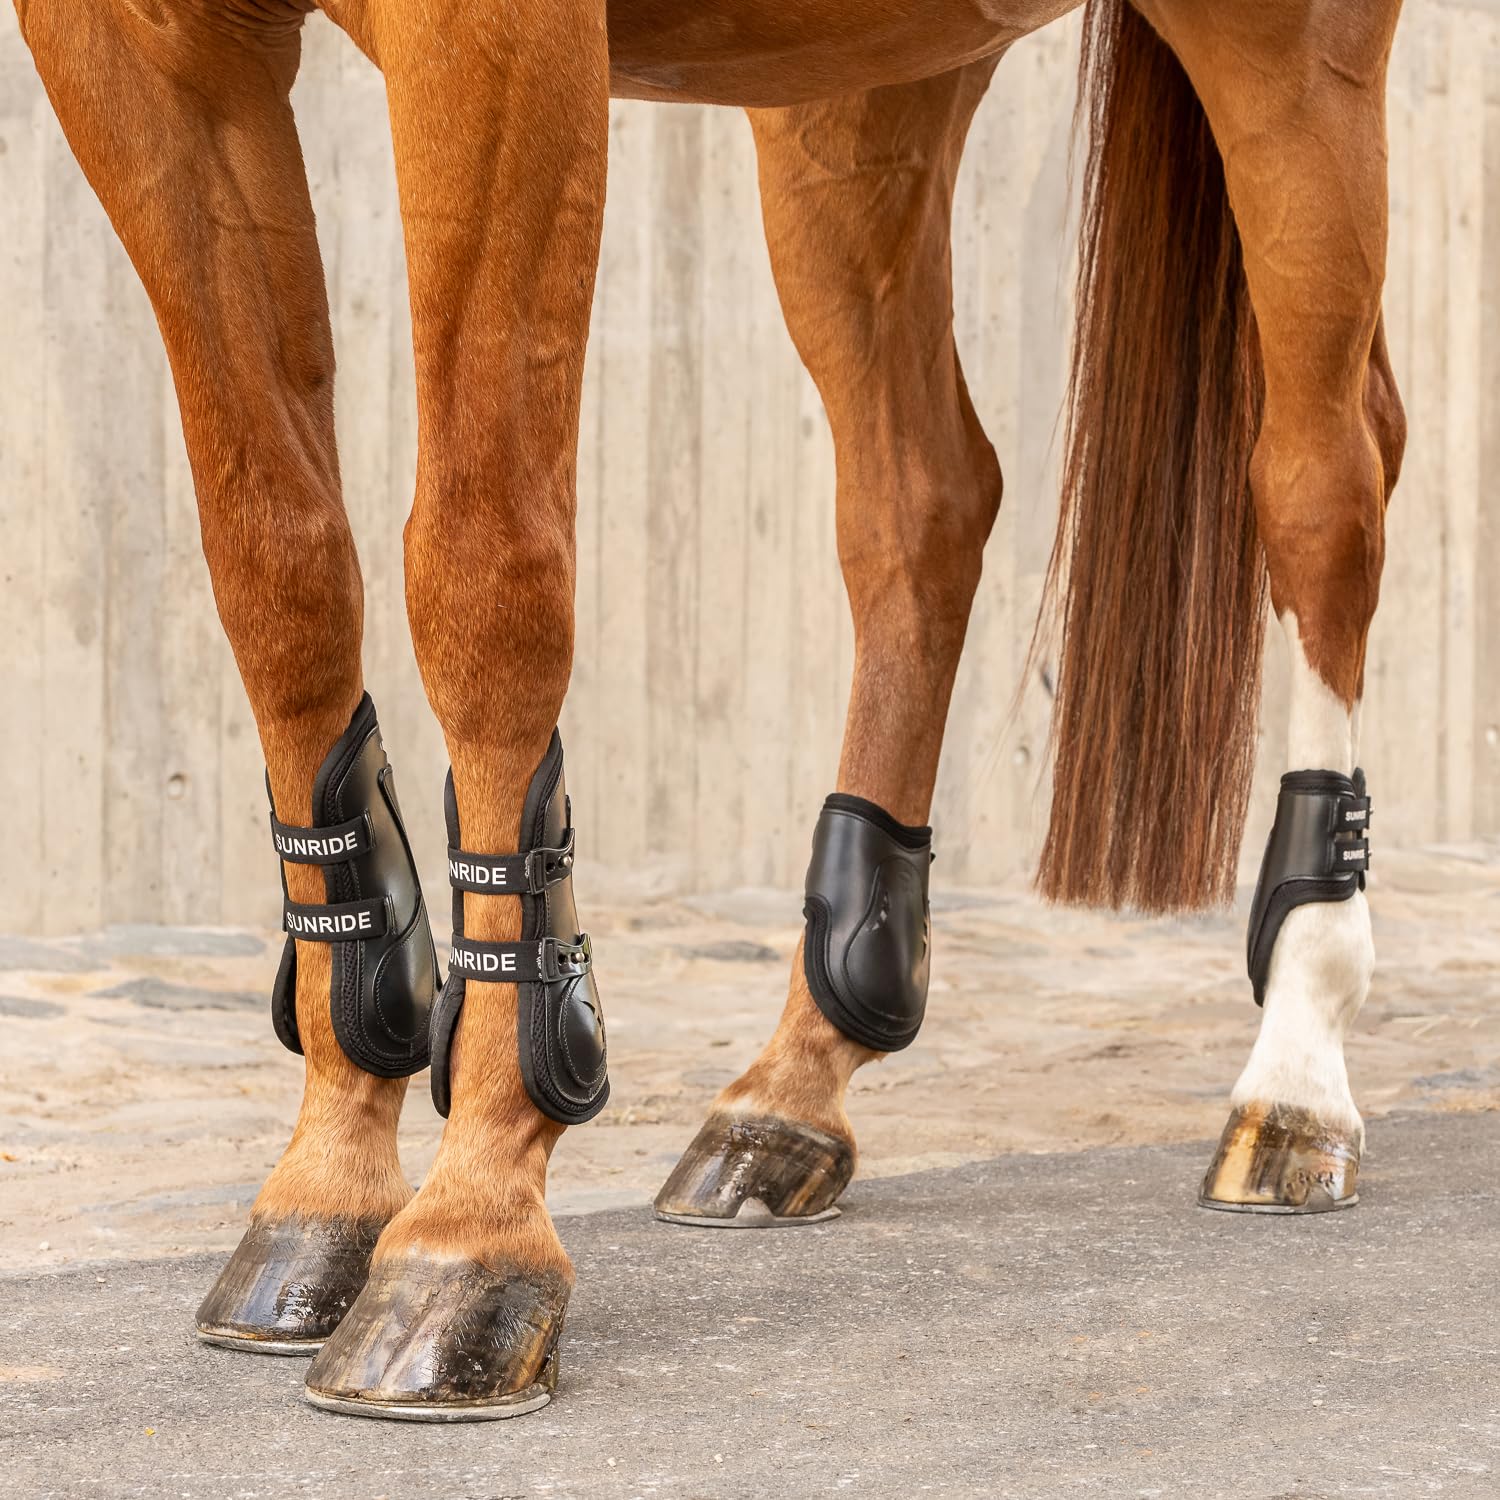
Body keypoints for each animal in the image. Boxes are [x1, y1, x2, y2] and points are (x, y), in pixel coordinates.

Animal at [13, 0, 1407, 1420]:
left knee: (1321, 479)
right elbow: (278, 565)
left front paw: (469, 1235)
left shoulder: (495, 49)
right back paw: (789, 1094)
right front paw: (327, 1192)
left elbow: (483, 571)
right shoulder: (141, 57)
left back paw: (1296, 1078)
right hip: (855, 103)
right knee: (924, 497)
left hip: (1286, 58)